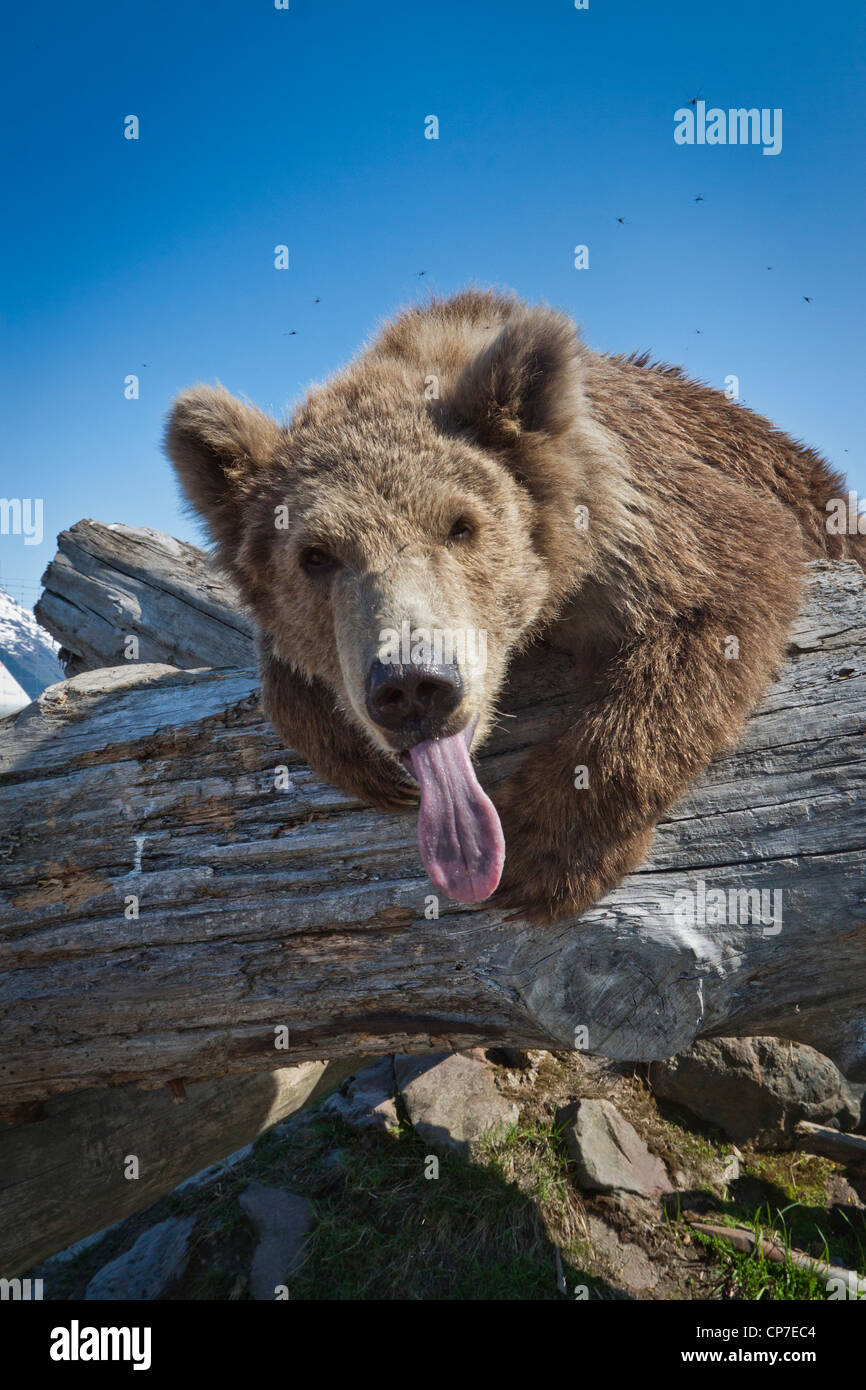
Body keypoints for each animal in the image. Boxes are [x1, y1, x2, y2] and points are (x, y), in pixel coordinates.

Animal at [164, 290, 866, 922]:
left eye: (460, 525)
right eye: (316, 555)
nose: (412, 685)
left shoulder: (644, 518)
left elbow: (719, 594)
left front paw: (544, 850)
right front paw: (357, 757)